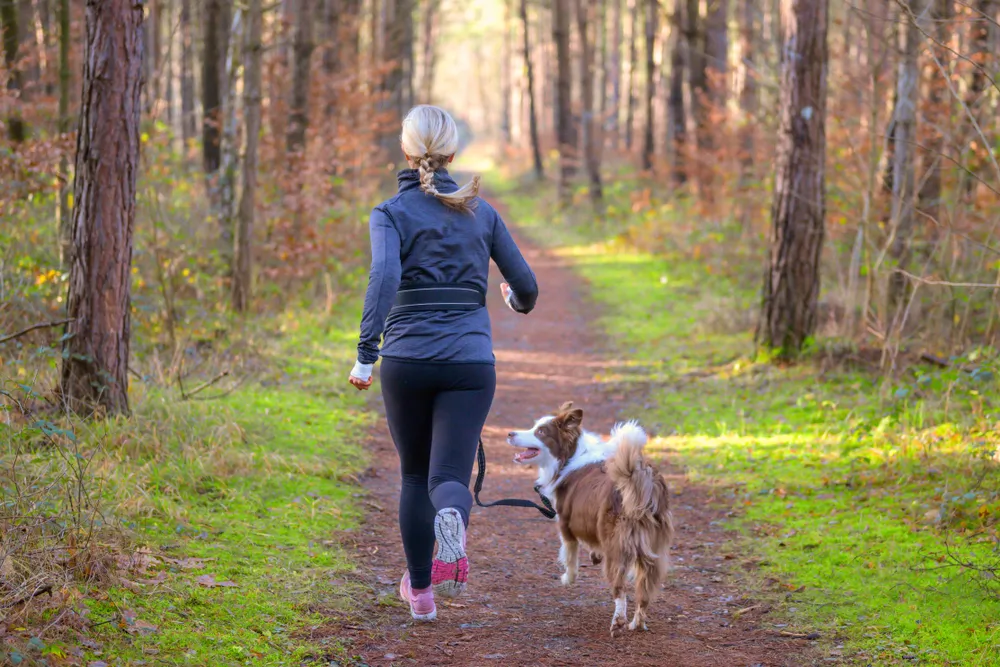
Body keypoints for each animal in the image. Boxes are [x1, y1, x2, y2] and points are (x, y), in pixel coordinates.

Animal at [508, 402, 672, 636]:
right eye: (533, 426)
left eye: (541, 432)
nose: (510, 433)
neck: (570, 456)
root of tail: (641, 481)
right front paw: (594, 555)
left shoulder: (565, 524)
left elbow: (570, 557)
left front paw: (567, 578)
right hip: (653, 551)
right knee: (644, 592)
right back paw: (637, 623)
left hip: (617, 547)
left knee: (620, 589)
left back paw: (618, 621)